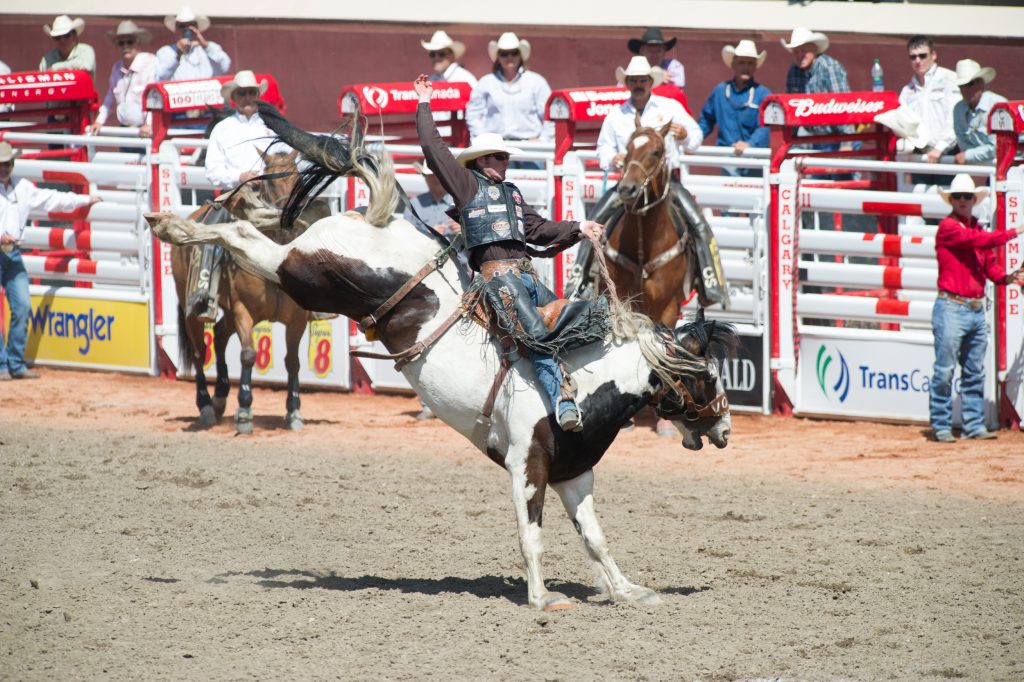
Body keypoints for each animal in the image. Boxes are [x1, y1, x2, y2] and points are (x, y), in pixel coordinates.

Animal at [146, 107, 737, 610]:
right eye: (708, 378)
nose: (726, 430)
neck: (586, 382)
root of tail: (383, 221)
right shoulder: (527, 465)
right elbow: (532, 536)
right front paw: (543, 599)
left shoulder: (574, 474)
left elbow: (595, 538)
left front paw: (629, 590)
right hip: (305, 274)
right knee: (248, 237)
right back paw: (173, 224)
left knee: (251, 228)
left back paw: (191, 218)